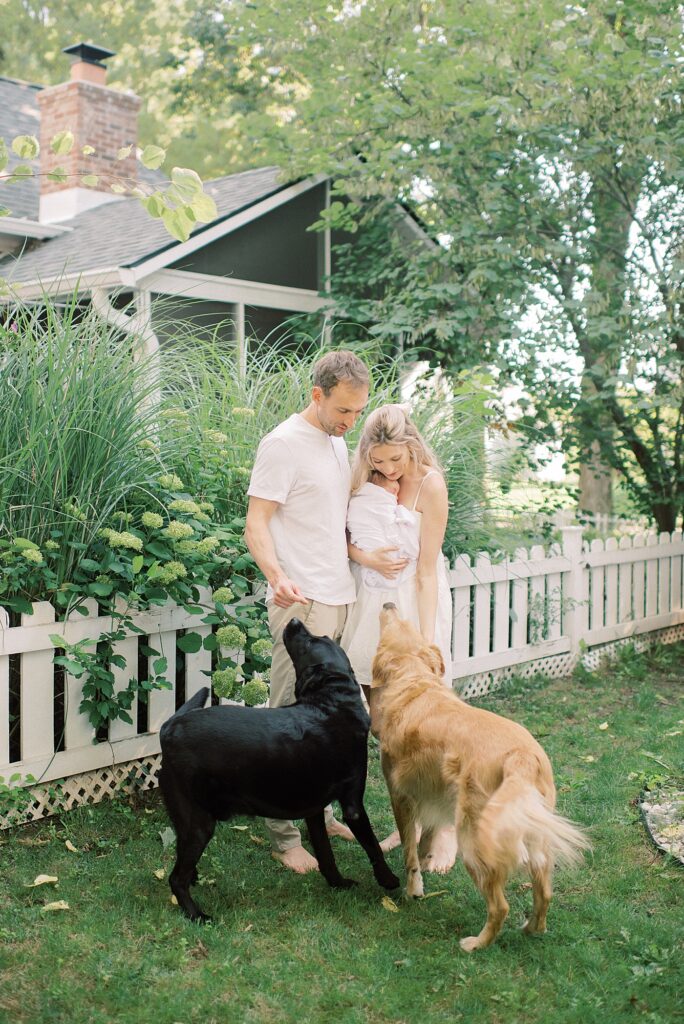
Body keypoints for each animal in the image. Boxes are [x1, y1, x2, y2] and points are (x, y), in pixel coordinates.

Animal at [157, 614, 397, 921]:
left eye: (317, 639)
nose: (295, 620)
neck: (332, 703)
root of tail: (170, 728)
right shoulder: (353, 805)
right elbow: (373, 846)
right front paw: (389, 880)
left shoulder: (314, 811)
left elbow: (326, 854)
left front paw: (338, 883)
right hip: (200, 822)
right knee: (175, 878)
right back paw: (197, 915)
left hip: (185, 817)